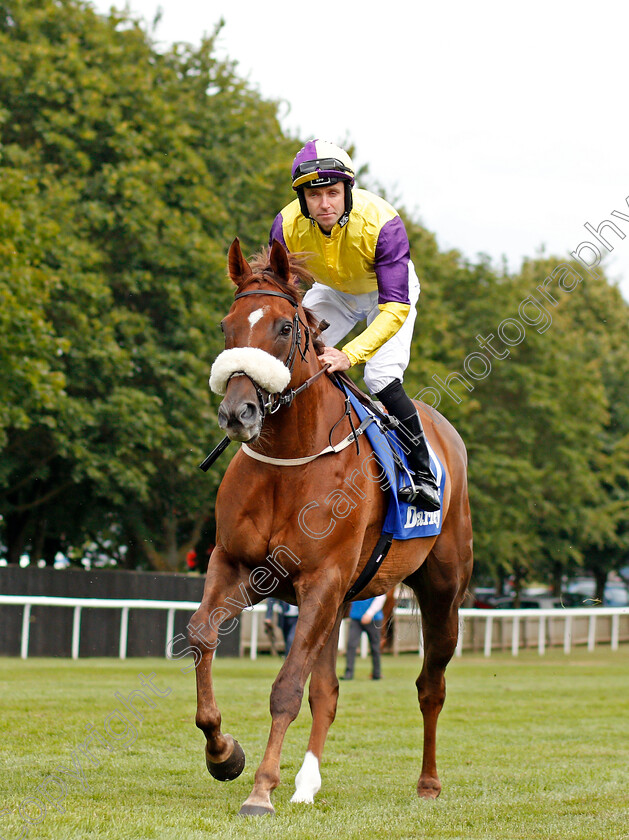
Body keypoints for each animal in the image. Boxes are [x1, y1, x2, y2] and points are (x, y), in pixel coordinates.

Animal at [191, 240, 472, 816]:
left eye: (283, 327)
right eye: (226, 325)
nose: (237, 412)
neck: (291, 459)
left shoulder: (321, 579)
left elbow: (286, 687)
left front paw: (261, 790)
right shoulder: (238, 565)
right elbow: (202, 634)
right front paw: (224, 754)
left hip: (442, 591)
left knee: (430, 687)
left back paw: (428, 782)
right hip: (340, 601)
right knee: (329, 692)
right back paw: (305, 784)